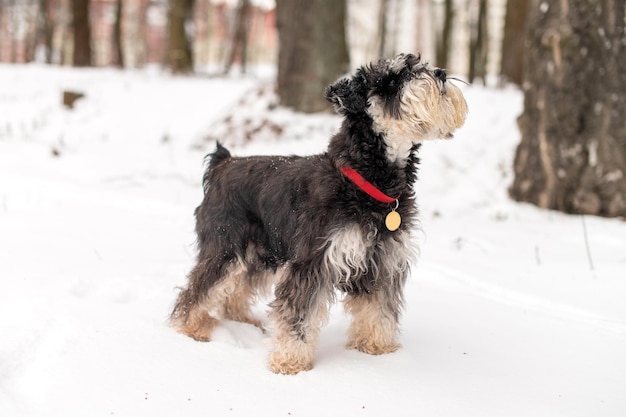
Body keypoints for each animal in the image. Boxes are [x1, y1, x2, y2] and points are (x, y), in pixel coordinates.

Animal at [168, 52, 466, 374]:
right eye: (391, 80)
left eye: (419, 64)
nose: (441, 73)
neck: (366, 179)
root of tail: (222, 165)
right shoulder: (312, 263)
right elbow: (298, 315)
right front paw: (290, 362)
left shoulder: (382, 264)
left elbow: (379, 310)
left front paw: (378, 348)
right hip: (226, 249)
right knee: (199, 290)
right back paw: (190, 328)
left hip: (261, 254)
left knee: (236, 290)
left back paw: (242, 320)